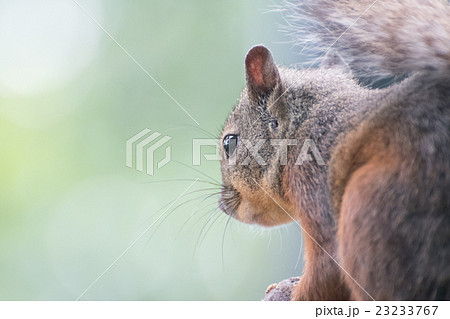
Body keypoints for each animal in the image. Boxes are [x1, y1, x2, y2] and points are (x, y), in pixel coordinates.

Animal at [218, 0, 450, 302]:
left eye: (229, 143)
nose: (223, 204)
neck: (302, 129)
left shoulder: (313, 178)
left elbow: (328, 269)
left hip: (376, 207)